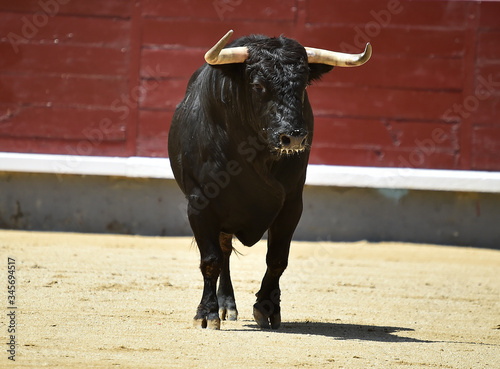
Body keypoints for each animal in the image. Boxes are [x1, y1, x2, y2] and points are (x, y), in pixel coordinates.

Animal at [169, 31, 372, 330]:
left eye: (303, 84)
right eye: (257, 85)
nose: (294, 137)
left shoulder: (292, 204)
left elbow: (277, 259)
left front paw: (267, 308)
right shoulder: (199, 203)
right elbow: (210, 260)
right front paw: (206, 314)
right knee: (223, 252)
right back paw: (225, 306)